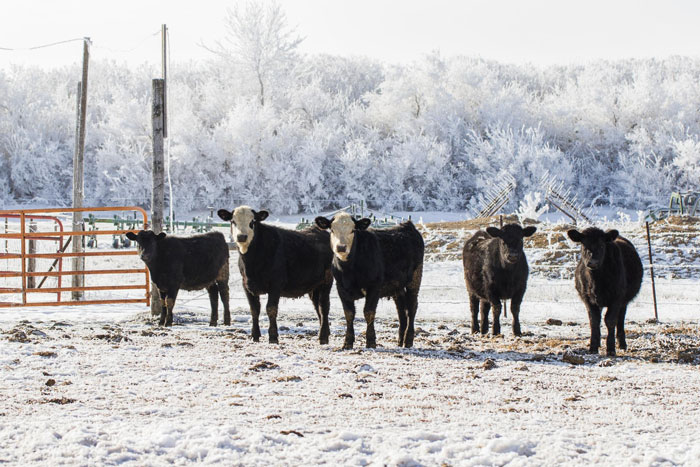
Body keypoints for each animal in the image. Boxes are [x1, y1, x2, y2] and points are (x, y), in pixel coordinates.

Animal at [217, 206, 333, 344]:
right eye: (233, 221)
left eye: (253, 222)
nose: (241, 236)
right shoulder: (246, 284)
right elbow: (254, 309)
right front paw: (255, 336)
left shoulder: (276, 284)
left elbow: (271, 309)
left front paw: (273, 337)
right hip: (314, 286)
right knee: (317, 307)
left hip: (326, 281)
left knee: (324, 306)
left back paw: (323, 337)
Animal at [314, 213, 425, 350]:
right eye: (332, 230)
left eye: (353, 230)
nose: (341, 247)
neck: (349, 269)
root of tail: (408, 226)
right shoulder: (341, 288)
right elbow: (349, 313)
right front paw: (347, 342)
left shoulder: (374, 286)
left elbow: (369, 312)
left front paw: (371, 341)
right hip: (397, 286)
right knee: (401, 308)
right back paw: (400, 340)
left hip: (415, 278)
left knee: (412, 307)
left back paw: (408, 340)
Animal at [567, 227, 643, 356]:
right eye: (583, 245)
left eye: (602, 245)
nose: (592, 262)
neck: (596, 280)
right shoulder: (588, 299)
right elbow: (594, 321)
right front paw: (593, 347)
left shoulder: (616, 299)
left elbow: (610, 320)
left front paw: (611, 349)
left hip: (624, 301)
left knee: (620, 318)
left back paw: (622, 344)